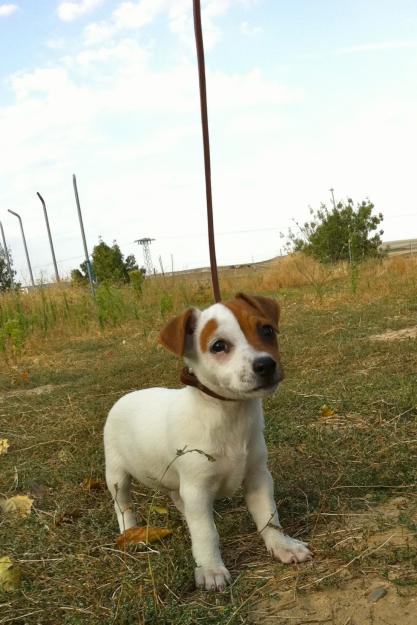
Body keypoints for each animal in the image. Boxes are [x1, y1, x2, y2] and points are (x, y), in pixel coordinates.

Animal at [104, 292, 312, 588]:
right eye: (218, 346)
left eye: (267, 330)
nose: (266, 364)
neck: (229, 415)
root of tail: (126, 396)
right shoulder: (198, 488)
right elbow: (205, 533)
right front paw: (211, 569)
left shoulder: (258, 477)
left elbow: (269, 516)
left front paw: (282, 546)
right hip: (117, 475)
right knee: (123, 506)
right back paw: (130, 533)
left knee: (177, 498)